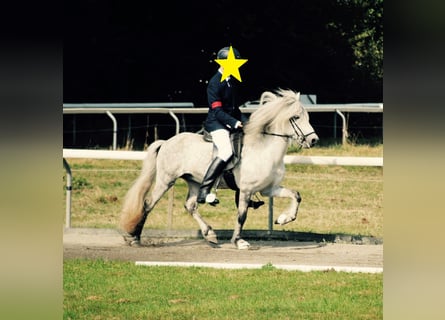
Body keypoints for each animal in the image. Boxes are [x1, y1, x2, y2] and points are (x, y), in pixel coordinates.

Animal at [119, 89, 318, 250]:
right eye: (295, 117)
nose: (314, 140)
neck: (264, 148)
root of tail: (166, 142)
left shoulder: (268, 189)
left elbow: (296, 195)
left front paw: (284, 218)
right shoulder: (246, 190)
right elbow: (242, 216)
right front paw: (239, 241)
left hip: (195, 181)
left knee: (190, 206)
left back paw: (210, 235)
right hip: (165, 180)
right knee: (148, 204)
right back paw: (134, 238)